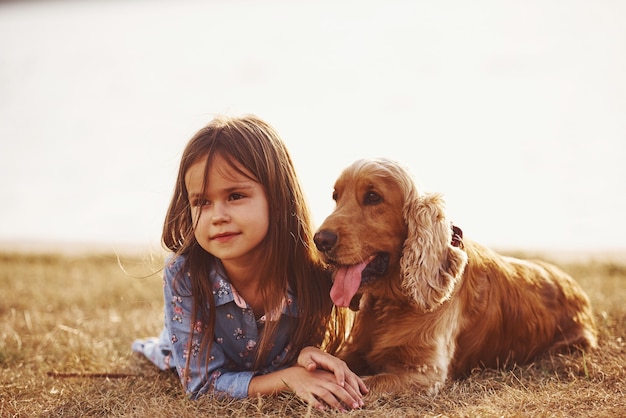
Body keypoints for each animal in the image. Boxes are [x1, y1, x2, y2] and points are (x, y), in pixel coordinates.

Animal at [312, 157, 596, 396]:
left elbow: (368, 384)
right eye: (336, 196)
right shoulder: (354, 349)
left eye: (373, 197)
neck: (393, 300)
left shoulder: (425, 373)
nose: (319, 240)